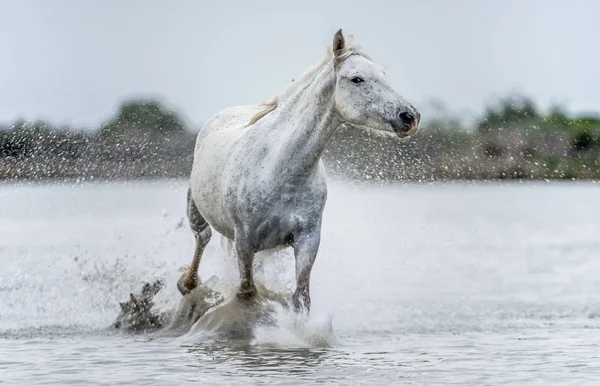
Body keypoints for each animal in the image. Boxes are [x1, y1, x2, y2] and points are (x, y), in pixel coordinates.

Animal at [180, 30, 420, 314]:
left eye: (384, 74)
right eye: (357, 79)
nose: (410, 117)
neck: (280, 170)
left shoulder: (307, 239)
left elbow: (301, 297)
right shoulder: (245, 241)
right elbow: (247, 292)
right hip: (197, 212)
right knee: (202, 238)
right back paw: (187, 284)